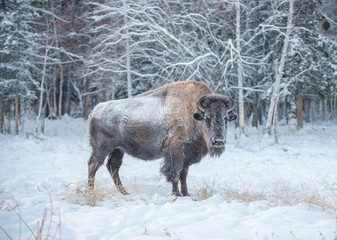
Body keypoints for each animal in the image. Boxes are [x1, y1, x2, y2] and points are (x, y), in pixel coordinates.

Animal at [86, 79, 236, 196]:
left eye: (226, 118)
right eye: (207, 118)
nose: (218, 141)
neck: (193, 114)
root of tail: (96, 109)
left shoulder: (186, 156)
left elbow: (183, 174)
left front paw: (186, 194)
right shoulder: (175, 152)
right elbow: (175, 173)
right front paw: (176, 194)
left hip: (118, 149)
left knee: (113, 167)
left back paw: (125, 193)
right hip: (102, 147)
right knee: (94, 164)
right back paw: (91, 191)